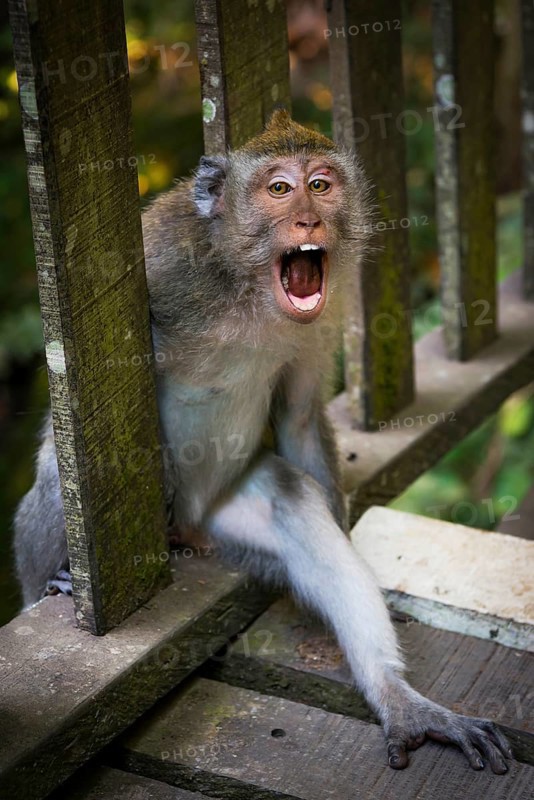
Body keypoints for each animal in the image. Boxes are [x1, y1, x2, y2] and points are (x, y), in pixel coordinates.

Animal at [14, 110, 512, 773]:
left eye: (321, 185)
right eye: (279, 189)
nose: (308, 221)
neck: (246, 287)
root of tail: (197, 528)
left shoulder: (323, 316)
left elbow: (299, 415)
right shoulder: (161, 271)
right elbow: (92, 407)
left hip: (224, 520)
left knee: (288, 498)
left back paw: (397, 698)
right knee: (54, 473)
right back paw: (56, 582)